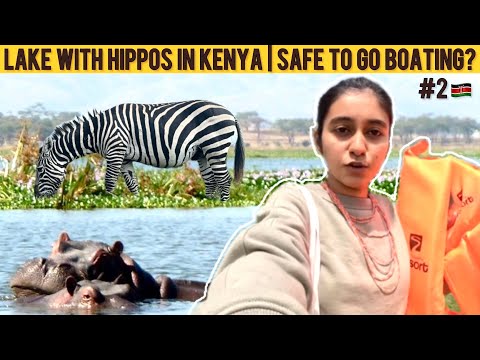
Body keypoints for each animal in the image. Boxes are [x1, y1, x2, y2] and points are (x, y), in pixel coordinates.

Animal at [33, 100, 246, 201]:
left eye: (40, 170)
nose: (36, 198)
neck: (97, 131)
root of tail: (230, 113)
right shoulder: (125, 157)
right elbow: (132, 183)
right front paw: (135, 203)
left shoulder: (115, 150)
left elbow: (110, 182)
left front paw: (108, 200)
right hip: (203, 152)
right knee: (211, 180)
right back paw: (209, 201)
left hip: (215, 146)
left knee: (223, 179)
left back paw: (223, 203)